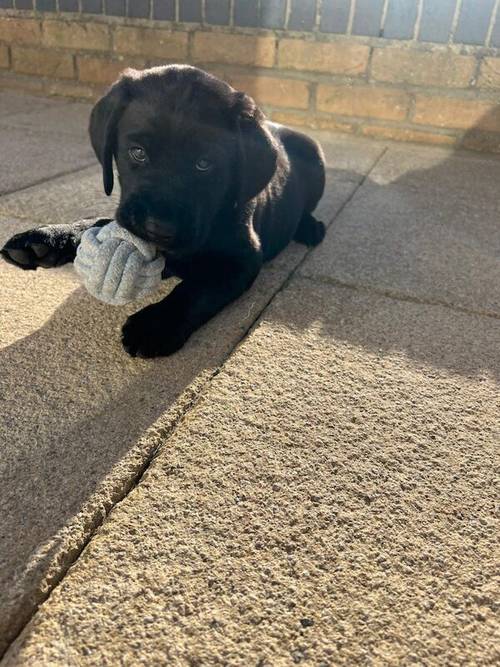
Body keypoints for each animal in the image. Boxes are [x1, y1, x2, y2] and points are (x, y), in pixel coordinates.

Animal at [0, 67, 326, 358]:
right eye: (138, 152)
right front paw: (45, 238)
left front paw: (154, 325)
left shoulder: (242, 258)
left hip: (316, 158)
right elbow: (98, 222)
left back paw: (310, 228)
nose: (159, 228)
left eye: (204, 164)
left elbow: (196, 289)